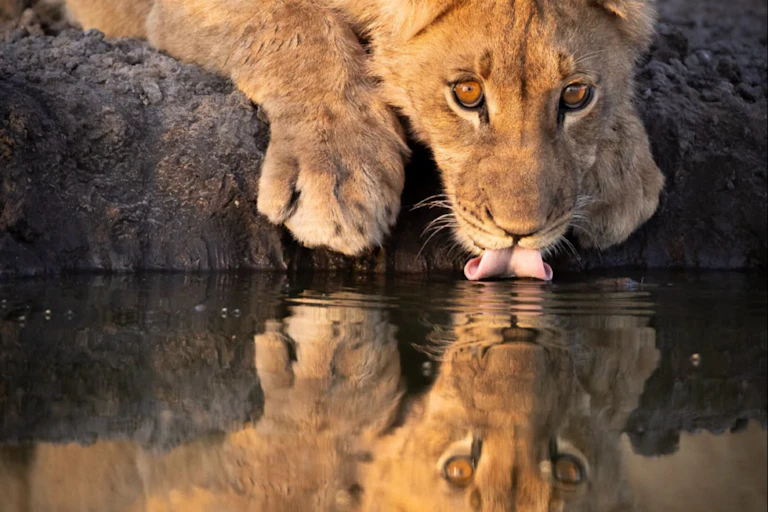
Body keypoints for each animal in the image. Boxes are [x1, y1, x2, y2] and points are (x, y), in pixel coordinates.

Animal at [63, 0, 664, 260]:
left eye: (576, 95)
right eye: (467, 93)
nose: (521, 233)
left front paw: (620, 175)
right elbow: (293, 25)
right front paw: (337, 184)